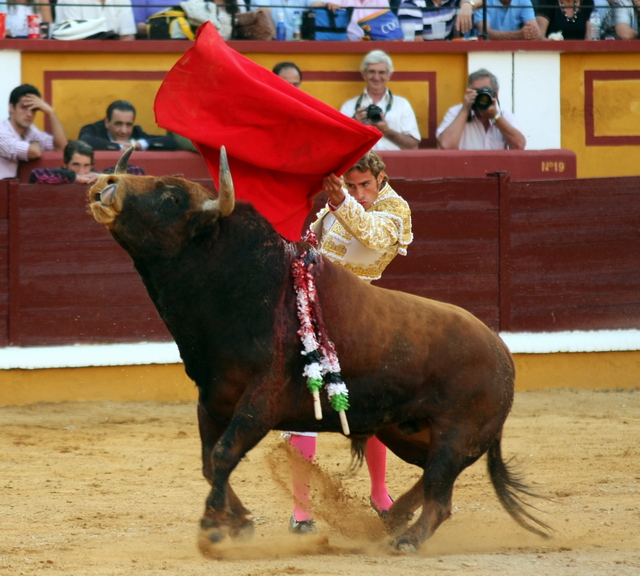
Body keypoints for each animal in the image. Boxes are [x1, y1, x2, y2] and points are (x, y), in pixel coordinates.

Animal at [87, 147, 548, 552]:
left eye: (170, 196)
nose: (105, 183)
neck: (241, 281)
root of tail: (502, 352)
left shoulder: (262, 400)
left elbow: (223, 454)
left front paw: (213, 529)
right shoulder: (212, 398)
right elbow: (208, 460)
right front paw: (239, 522)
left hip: (457, 433)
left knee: (441, 495)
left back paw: (405, 539)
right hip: (408, 430)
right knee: (427, 479)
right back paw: (391, 520)